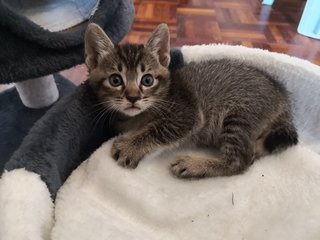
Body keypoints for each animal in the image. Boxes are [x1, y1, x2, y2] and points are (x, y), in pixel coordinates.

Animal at [84, 23, 298, 178]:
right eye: (115, 80)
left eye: (147, 80)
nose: (133, 97)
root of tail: (282, 96)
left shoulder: (188, 113)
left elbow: (159, 129)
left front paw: (131, 147)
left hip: (240, 114)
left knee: (240, 161)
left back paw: (194, 165)